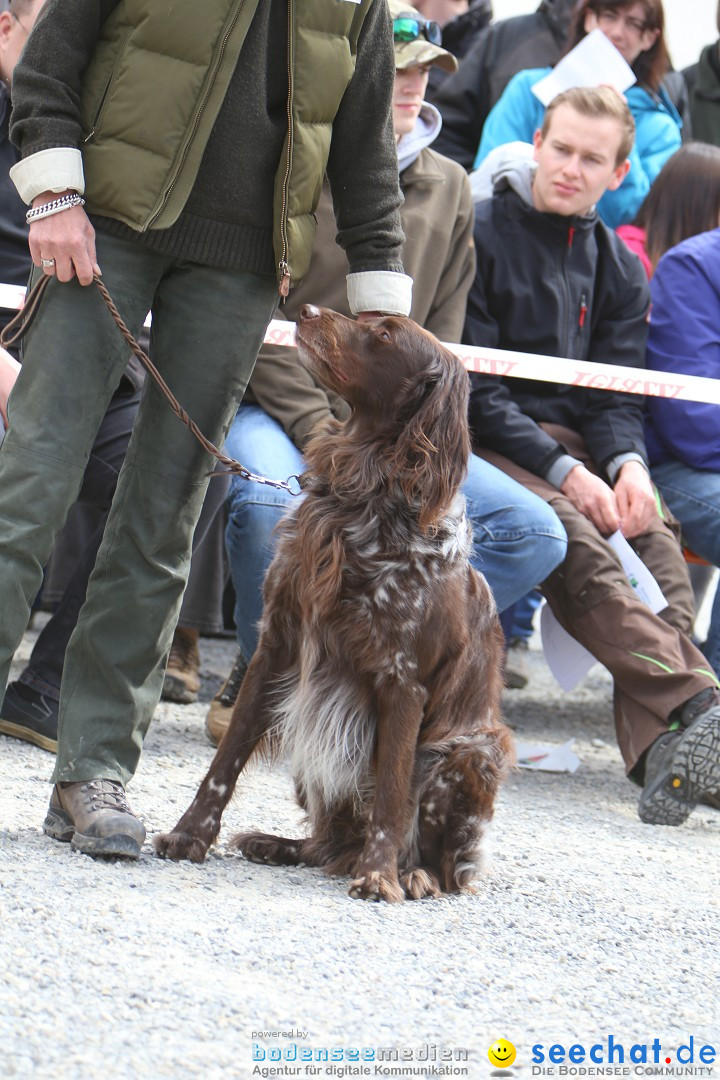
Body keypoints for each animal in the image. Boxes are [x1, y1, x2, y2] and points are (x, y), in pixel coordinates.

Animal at [156, 306, 511, 902]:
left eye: (385, 333)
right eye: (368, 315)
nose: (304, 310)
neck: (362, 498)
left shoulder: (403, 681)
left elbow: (391, 793)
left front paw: (379, 875)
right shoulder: (275, 648)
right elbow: (224, 763)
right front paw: (189, 836)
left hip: (468, 751)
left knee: (446, 867)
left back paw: (411, 874)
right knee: (326, 845)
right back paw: (278, 846)